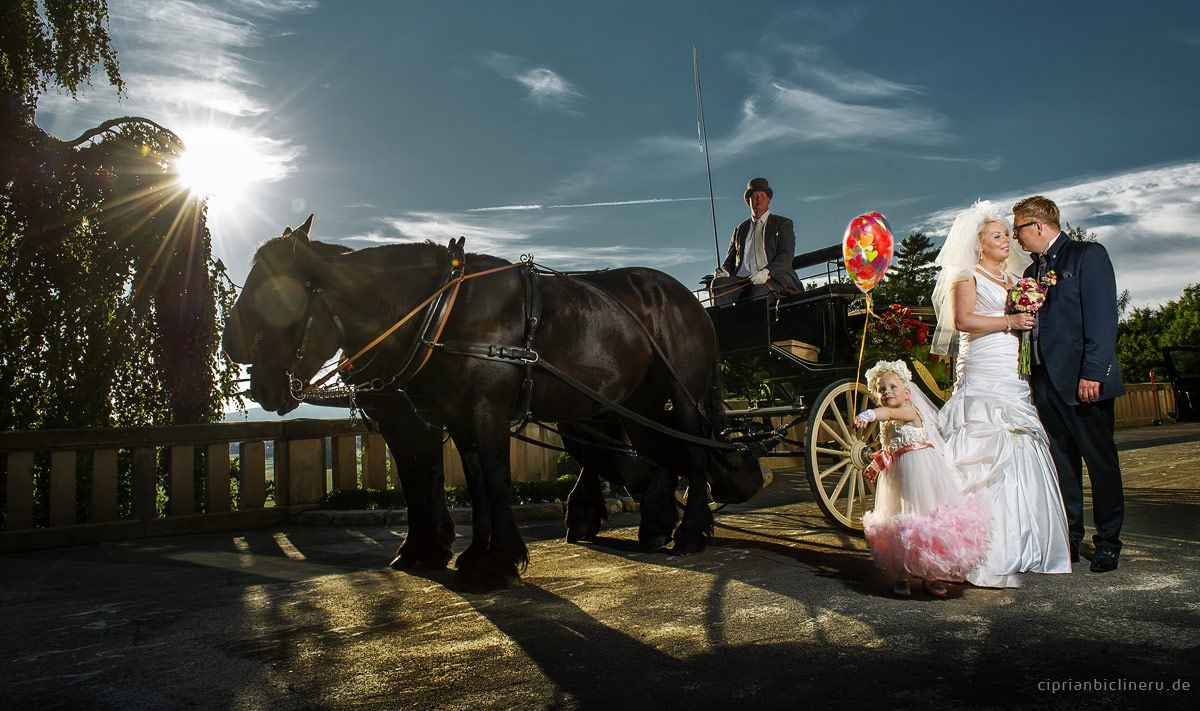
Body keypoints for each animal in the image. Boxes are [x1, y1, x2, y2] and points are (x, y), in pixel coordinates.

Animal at [225, 214, 758, 588]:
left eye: (274, 299)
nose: (249, 373)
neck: (439, 311)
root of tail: (686, 296)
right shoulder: (452, 417)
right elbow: (469, 482)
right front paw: (463, 554)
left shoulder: (480, 412)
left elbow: (493, 479)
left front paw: (495, 562)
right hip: (639, 401)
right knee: (657, 451)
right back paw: (653, 525)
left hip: (681, 395)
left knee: (692, 450)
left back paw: (689, 532)